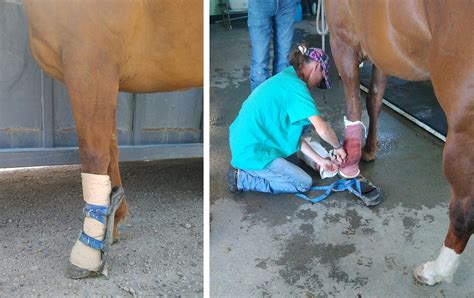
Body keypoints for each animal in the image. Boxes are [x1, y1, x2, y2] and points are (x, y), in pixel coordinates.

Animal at [21, 0, 202, 280]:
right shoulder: (106, 80)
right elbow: (111, 149)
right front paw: (112, 221)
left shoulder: (90, 67)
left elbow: (94, 155)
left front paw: (86, 254)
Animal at [326, 1, 474, 288]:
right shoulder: (380, 50)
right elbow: (374, 98)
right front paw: (369, 150)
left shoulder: (342, 41)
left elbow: (353, 107)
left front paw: (350, 163)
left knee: (463, 213)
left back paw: (434, 271)